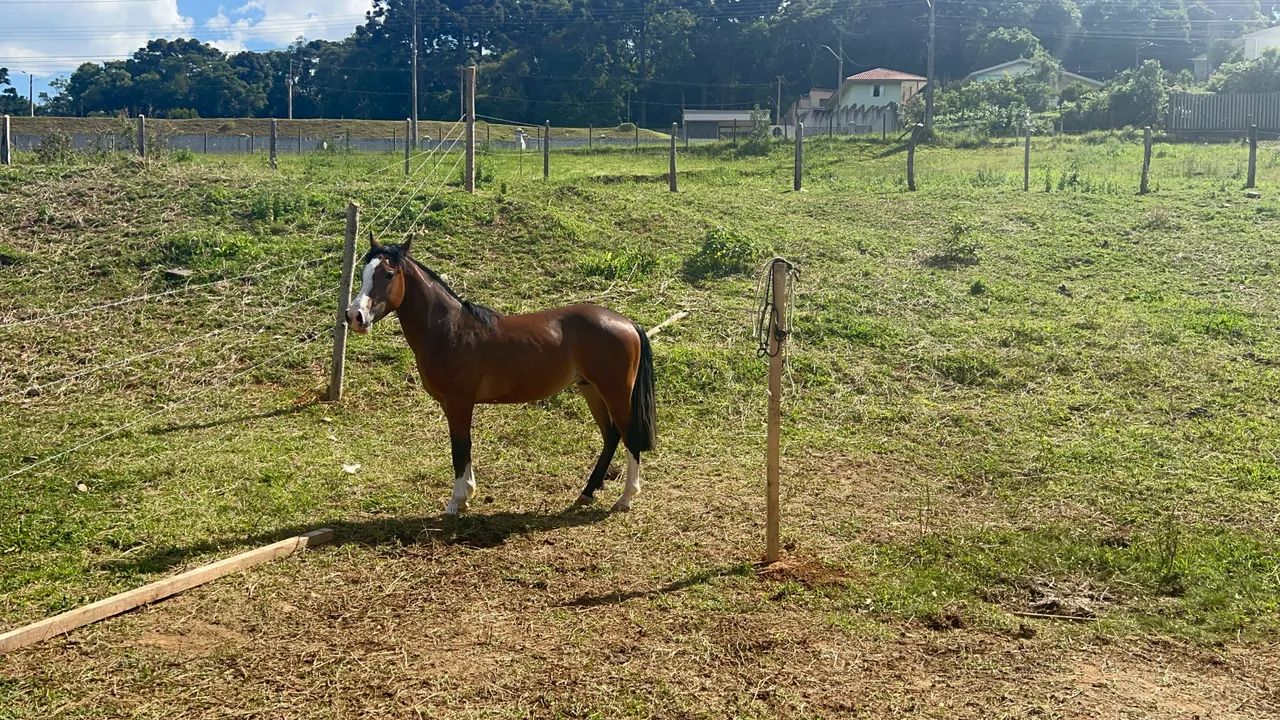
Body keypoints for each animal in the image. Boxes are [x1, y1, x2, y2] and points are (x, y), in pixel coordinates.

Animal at [345, 235, 656, 515]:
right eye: (362, 273)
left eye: (388, 274)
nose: (355, 316)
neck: (451, 330)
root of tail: (628, 323)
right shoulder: (454, 405)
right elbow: (464, 448)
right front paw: (466, 495)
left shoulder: (458, 403)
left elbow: (460, 447)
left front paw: (457, 502)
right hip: (590, 389)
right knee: (611, 436)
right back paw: (586, 493)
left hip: (615, 392)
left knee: (629, 435)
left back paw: (625, 499)